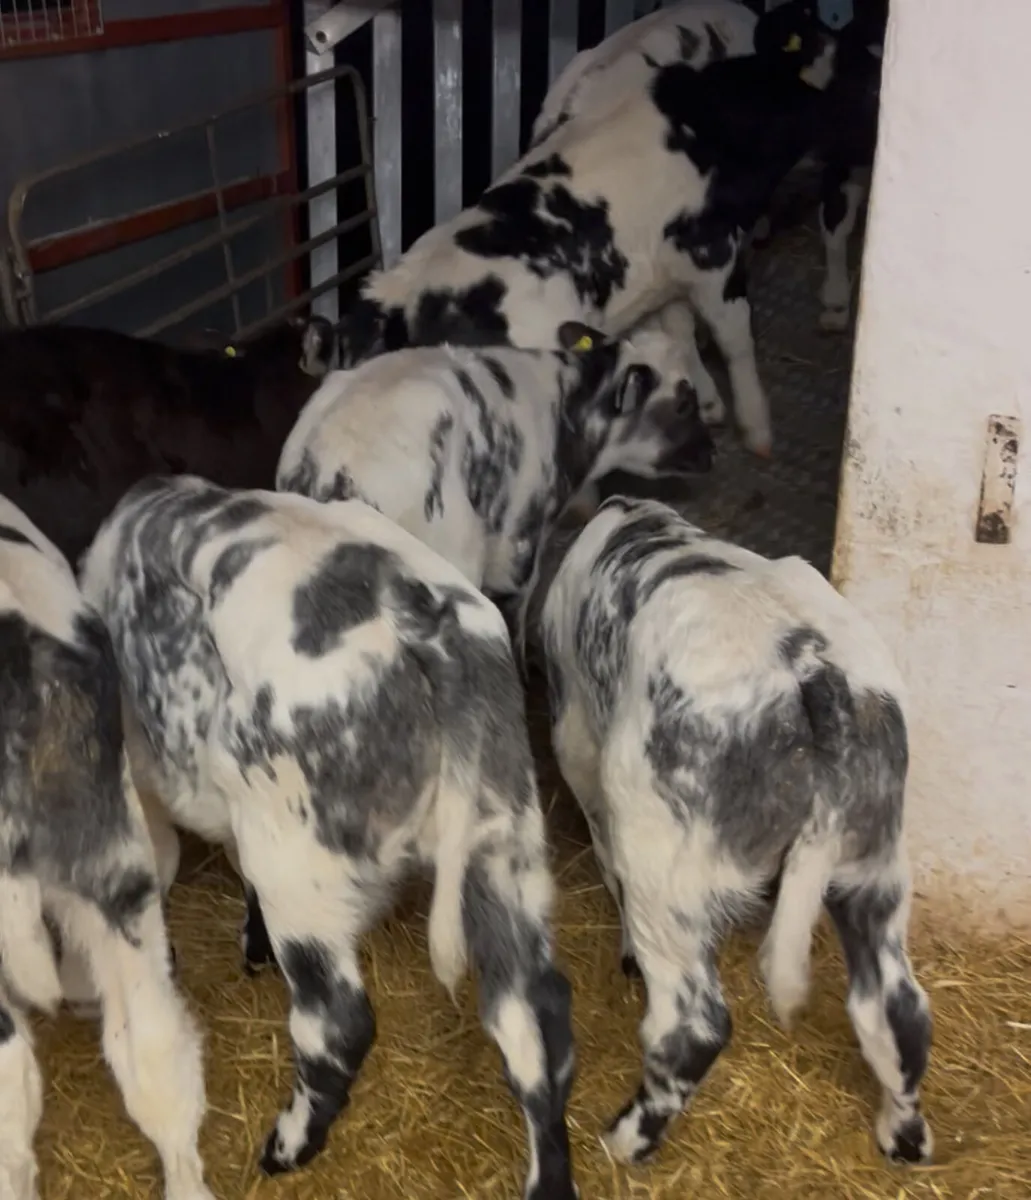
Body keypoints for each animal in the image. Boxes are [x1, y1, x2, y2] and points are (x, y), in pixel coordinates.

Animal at [78, 476, 578, 1200]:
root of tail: (422, 621)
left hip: (296, 861)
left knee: (337, 1022)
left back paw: (288, 1145)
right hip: (503, 839)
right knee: (534, 1017)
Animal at [516, 494, 933, 1170]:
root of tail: (813, 675)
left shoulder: (576, 731)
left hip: (664, 862)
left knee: (693, 1027)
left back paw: (625, 1140)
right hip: (875, 859)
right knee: (897, 1011)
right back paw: (904, 1140)